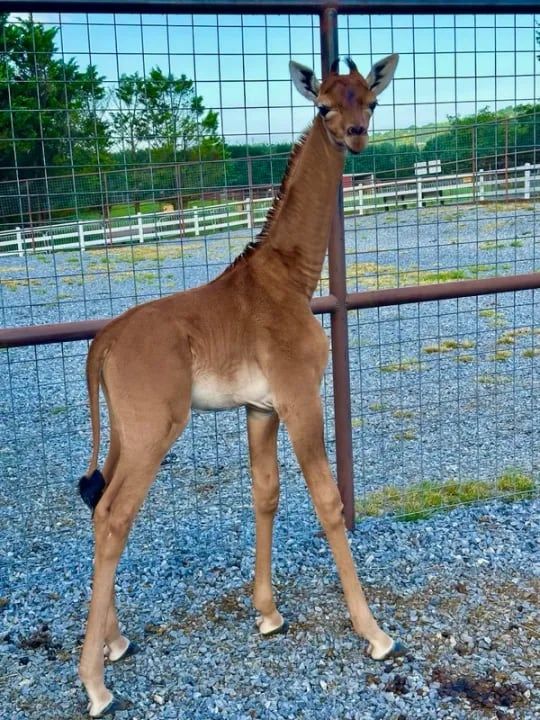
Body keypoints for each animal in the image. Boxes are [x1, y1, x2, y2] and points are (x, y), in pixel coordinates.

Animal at [78, 53, 401, 718]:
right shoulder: (301, 398)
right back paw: (96, 684)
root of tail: (104, 342)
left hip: (123, 432)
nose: (356, 136)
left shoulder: (260, 407)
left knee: (98, 505)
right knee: (115, 516)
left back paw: (116, 641)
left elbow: (266, 494)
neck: (292, 279)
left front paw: (269, 613)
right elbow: (328, 501)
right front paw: (376, 634)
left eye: (371, 100)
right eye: (323, 106)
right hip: (154, 431)